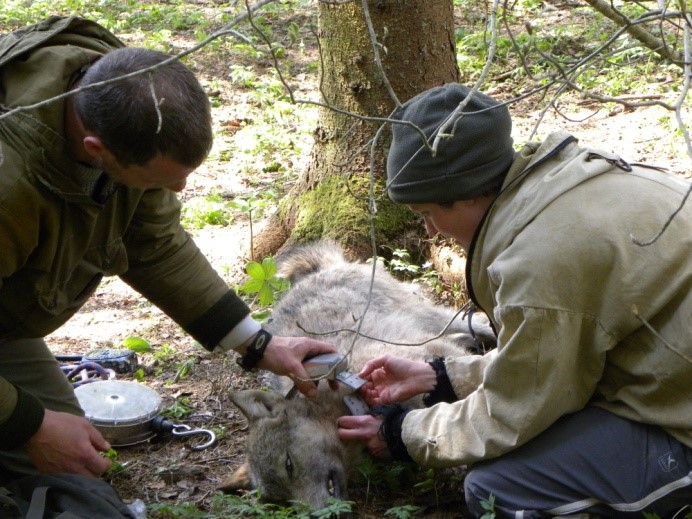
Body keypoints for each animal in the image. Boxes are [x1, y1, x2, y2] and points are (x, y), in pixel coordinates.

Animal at [223, 242, 498, 510]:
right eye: (284, 502)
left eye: (288, 465)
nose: (321, 515)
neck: (344, 398)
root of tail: (316, 272)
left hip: (431, 318)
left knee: (476, 324)